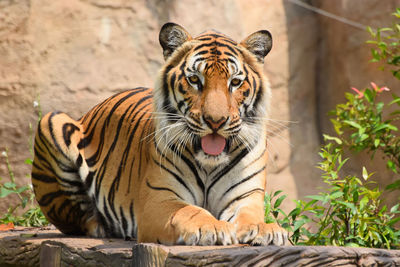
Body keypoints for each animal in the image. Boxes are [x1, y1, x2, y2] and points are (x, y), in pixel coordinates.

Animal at [31, 23, 288, 247]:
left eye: (235, 82)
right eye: (194, 79)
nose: (215, 121)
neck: (209, 163)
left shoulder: (246, 195)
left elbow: (250, 216)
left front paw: (266, 230)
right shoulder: (159, 199)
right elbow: (190, 212)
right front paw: (211, 227)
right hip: (52, 121)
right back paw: (102, 226)